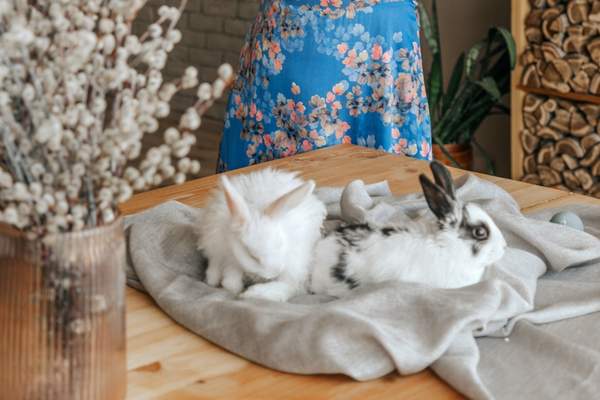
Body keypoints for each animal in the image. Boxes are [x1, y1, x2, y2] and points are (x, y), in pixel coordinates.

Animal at [197, 167, 328, 302]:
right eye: (252, 256)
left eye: (280, 244)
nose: (275, 272)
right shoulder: (225, 253)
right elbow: (230, 282)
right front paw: (233, 288)